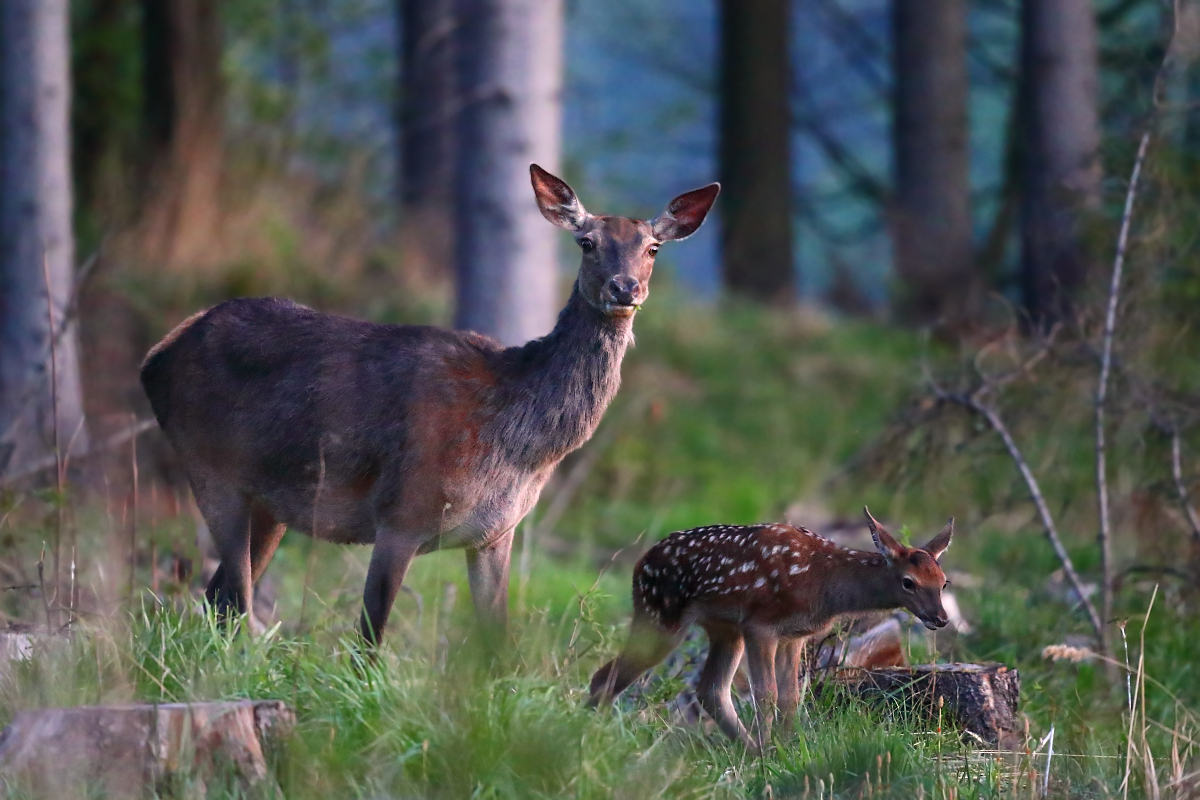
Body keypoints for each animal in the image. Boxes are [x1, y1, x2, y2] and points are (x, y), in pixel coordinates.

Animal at [140, 165, 720, 647]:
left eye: (653, 248)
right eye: (586, 242)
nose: (625, 288)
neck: (519, 450)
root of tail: (157, 355)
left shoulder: (496, 534)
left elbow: (497, 643)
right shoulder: (402, 514)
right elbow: (368, 640)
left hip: (272, 501)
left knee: (218, 596)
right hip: (210, 466)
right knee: (231, 598)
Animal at [585, 513, 950, 753]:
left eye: (943, 581)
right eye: (908, 582)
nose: (941, 618)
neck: (825, 585)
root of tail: (639, 566)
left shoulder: (794, 634)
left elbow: (791, 696)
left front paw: (787, 748)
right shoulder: (760, 626)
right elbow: (767, 693)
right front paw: (774, 749)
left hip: (724, 628)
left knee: (711, 689)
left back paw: (749, 749)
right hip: (661, 616)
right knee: (605, 676)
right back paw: (589, 735)